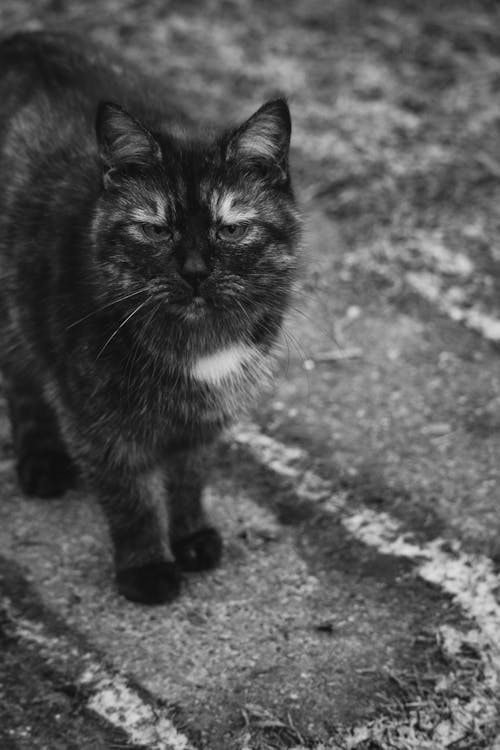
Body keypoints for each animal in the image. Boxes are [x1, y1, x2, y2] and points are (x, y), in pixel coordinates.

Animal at [0, 30, 298, 604]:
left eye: (231, 229)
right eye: (156, 229)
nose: (195, 271)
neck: (199, 343)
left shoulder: (206, 418)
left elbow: (187, 479)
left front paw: (191, 537)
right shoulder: (99, 425)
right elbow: (130, 495)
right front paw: (147, 569)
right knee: (23, 381)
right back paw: (42, 462)